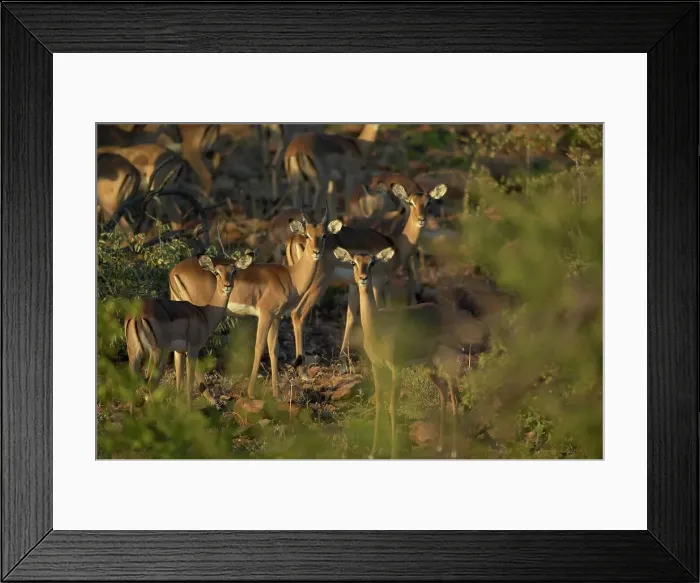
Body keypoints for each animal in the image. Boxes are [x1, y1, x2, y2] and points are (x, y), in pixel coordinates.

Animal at [124, 253, 253, 410]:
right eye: (217, 272)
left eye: (234, 271)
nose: (227, 286)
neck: (204, 313)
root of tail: (137, 314)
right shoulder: (193, 350)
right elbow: (189, 384)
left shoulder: (178, 351)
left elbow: (179, 382)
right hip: (157, 353)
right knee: (149, 384)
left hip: (135, 353)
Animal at [169, 211, 327, 398]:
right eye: (307, 235)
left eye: (323, 235)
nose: (317, 252)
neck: (290, 276)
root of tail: (174, 272)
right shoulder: (265, 314)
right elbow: (259, 347)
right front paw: (251, 392)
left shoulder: (276, 317)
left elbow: (273, 349)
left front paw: (276, 393)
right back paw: (209, 397)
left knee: (178, 351)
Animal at [334, 246, 486, 459]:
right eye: (353, 262)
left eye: (372, 262)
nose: (363, 278)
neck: (377, 326)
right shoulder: (376, 367)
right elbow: (379, 404)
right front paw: (372, 452)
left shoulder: (396, 368)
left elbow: (393, 405)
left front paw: (393, 454)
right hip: (427, 365)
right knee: (443, 390)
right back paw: (440, 447)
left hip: (446, 360)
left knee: (454, 393)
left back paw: (454, 451)